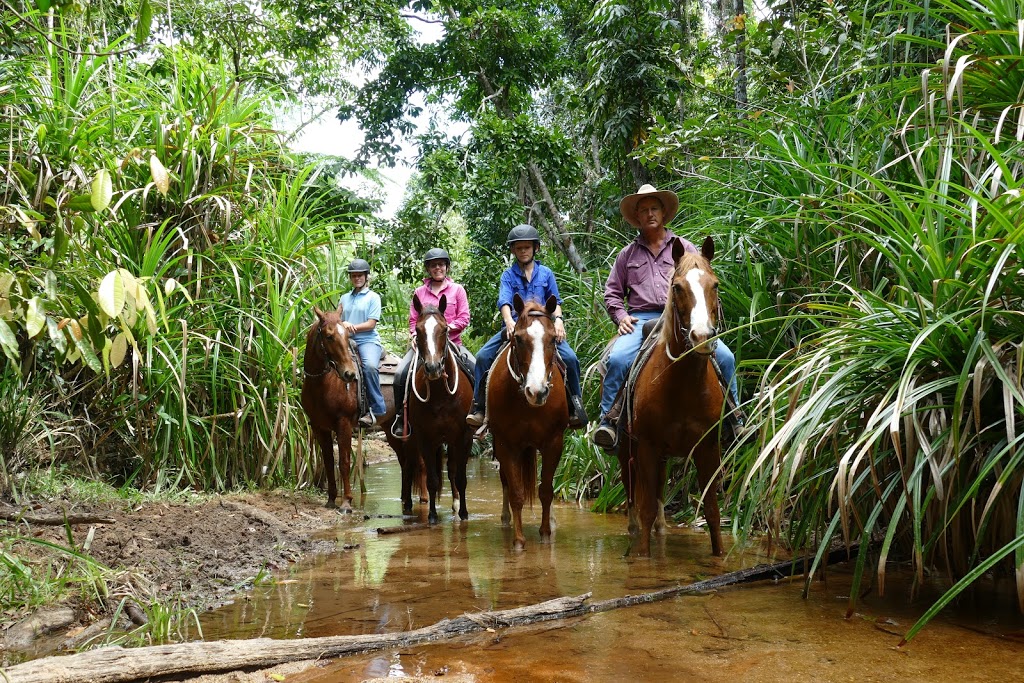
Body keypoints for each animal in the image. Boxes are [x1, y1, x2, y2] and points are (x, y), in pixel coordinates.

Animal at [299, 307, 362, 509]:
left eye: (347, 334)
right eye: (329, 336)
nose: (350, 374)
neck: (322, 383)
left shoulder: (344, 424)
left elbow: (344, 461)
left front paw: (347, 502)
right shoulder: (320, 427)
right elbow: (328, 461)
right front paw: (331, 499)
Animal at [405, 294, 473, 524]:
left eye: (444, 330)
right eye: (418, 330)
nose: (433, 368)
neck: (441, 396)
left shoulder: (464, 438)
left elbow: (461, 478)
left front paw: (464, 513)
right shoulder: (426, 439)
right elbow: (432, 480)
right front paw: (433, 516)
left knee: (452, 470)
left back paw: (456, 505)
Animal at [485, 294, 569, 548]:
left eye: (552, 339)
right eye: (519, 339)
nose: (537, 391)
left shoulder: (554, 442)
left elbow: (546, 490)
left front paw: (545, 533)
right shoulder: (506, 444)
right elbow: (516, 493)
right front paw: (519, 541)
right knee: (505, 481)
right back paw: (506, 519)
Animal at [618, 235, 724, 557]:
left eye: (715, 285)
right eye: (677, 286)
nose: (701, 337)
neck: (683, 386)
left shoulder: (707, 448)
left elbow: (712, 512)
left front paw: (719, 556)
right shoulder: (647, 446)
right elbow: (645, 509)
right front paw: (642, 555)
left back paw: (662, 530)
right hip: (626, 448)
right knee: (632, 493)